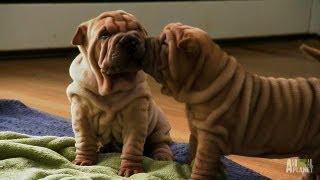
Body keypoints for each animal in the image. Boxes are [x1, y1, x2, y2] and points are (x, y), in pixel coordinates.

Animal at [66, 10, 174, 176]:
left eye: (137, 29)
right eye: (104, 35)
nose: (130, 39)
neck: (112, 84)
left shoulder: (135, 118)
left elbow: (132, 146)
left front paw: (131, 169)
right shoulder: (81, 114)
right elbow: (85, 140)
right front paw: (84, 161)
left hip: (160, 127)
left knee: (160, 144)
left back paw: (162, 158)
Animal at [109, 23, 320, 179]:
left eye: (163, 44)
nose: (141, 41)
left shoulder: (210, 138)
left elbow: (201, 164)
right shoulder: (197, 132)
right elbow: (192, 153)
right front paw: (184, 168)